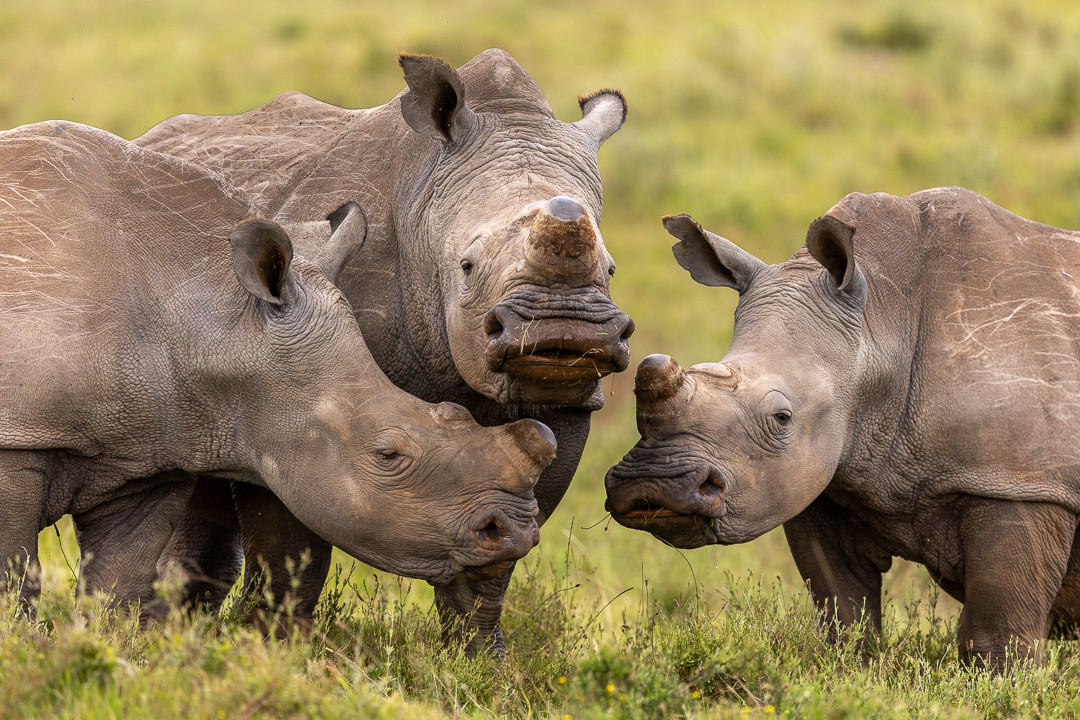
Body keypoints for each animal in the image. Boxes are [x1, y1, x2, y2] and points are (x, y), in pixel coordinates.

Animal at [0, 120, 556, 617]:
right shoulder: (19, 435)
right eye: (388, 454)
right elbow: (13, 578)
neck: (216, 320)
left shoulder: (151, 448)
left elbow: (118, 589)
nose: (513, 531)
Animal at [136, 48, 632, 652]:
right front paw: (274, 649)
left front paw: (480, 660)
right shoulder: (295, 394)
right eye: (467, 266)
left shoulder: (561, 409)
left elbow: (498, 546)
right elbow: (293, 549)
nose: (565, 336)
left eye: (610, 269)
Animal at [606, 187, 1080, 671]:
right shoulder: (824, 478)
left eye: (781, 418)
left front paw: (998, 681)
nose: (651, 487)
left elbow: (996, 631)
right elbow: (842, 608)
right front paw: (852, 668)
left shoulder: (1017, 482)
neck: (883, 323)